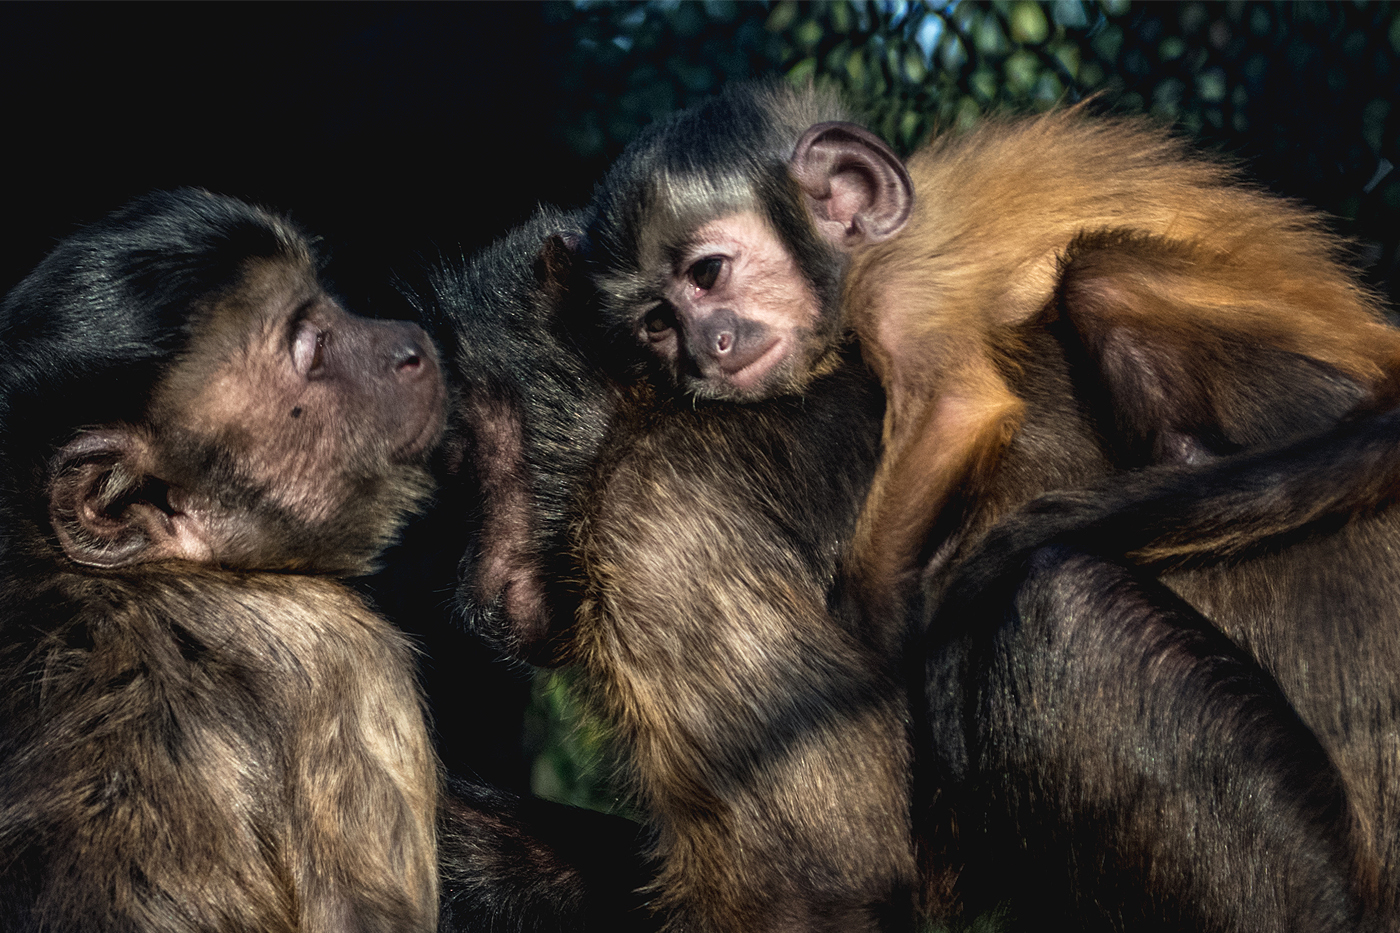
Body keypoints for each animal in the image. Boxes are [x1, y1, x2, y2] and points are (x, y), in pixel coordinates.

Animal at [586, 81, 1400, 625]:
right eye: (660, 323)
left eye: (708, 274)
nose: (705, 346)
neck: (857, 257)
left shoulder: (898, 284)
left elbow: (956, 409)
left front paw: (886, 627)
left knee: (1100, 275)